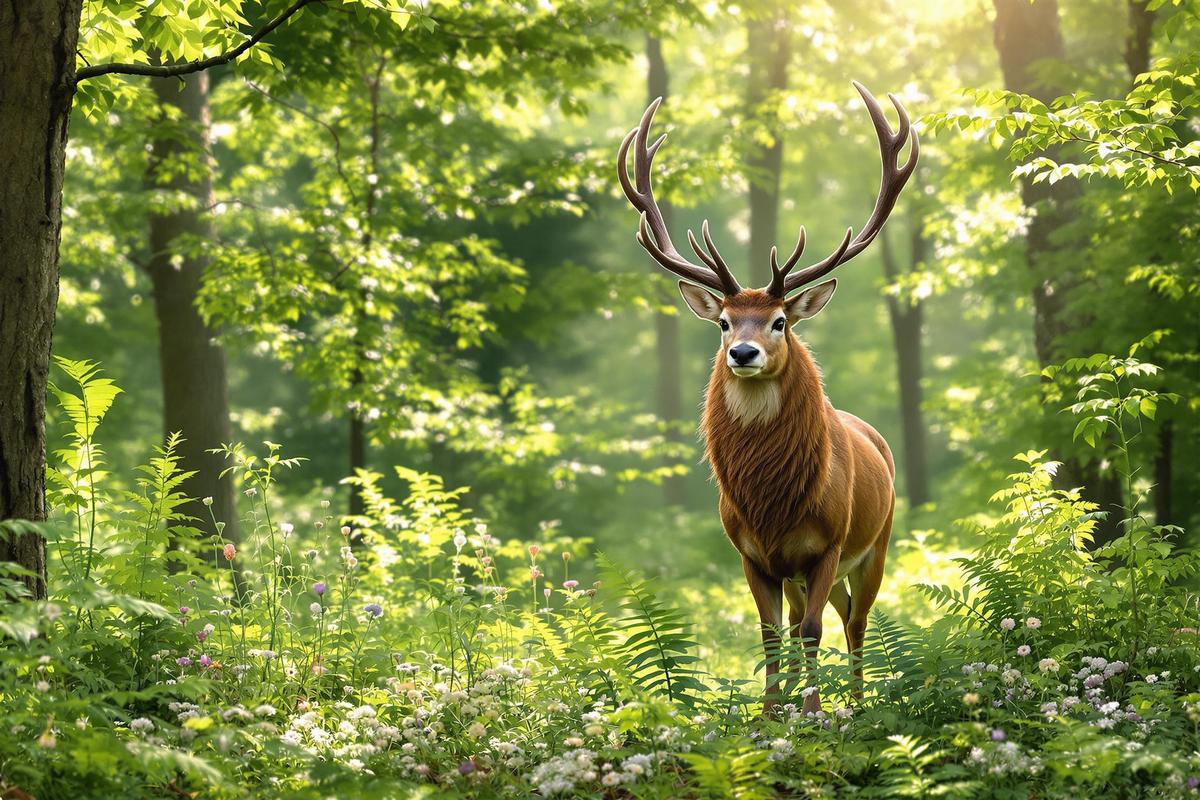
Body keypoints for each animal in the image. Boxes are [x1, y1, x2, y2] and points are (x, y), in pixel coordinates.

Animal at [617, 82, 918, 715]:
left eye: (779, 320)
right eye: (723, 322)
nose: (743, 352)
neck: (773, 502)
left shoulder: (827, 544)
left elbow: (812, 631)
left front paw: (813, 713)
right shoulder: (752, 552)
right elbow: (771, 634)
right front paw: (771, 715)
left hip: (877, 542)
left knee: (856, 622)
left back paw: (857, 703)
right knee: (828, 618)